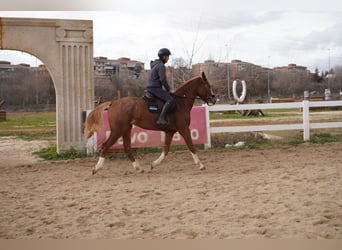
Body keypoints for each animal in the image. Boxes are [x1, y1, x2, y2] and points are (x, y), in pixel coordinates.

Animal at [84, 72, 215, 174]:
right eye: (208, 85)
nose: (213, 98)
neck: (180, 102)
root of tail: (113, 103)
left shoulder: (170, 132)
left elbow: (166, 150)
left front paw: (153, 164)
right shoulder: (184, 129)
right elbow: (191, 146)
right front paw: (201, 165)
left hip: (126, 129)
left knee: (127, 148)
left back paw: (138, 168)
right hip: (118, 130)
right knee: (105, 146)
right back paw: (96, 168)